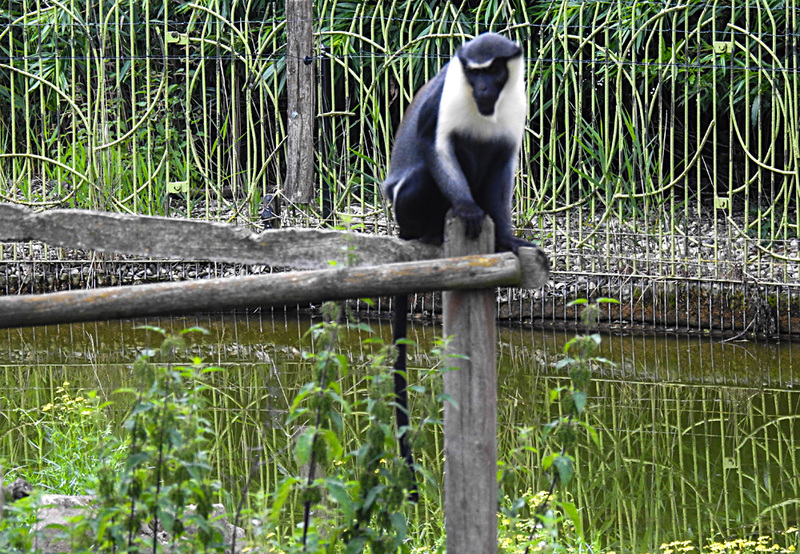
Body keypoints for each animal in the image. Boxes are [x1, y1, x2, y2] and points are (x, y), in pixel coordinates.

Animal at [380, 33, 532, 500]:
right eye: (474, 72)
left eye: (495, 71)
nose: (482, 90)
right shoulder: (445, 102)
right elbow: (438, 145)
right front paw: (467, 210)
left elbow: (503, 160)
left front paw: (507, 238)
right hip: (408, 203)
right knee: (431, 170)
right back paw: (435, 230)